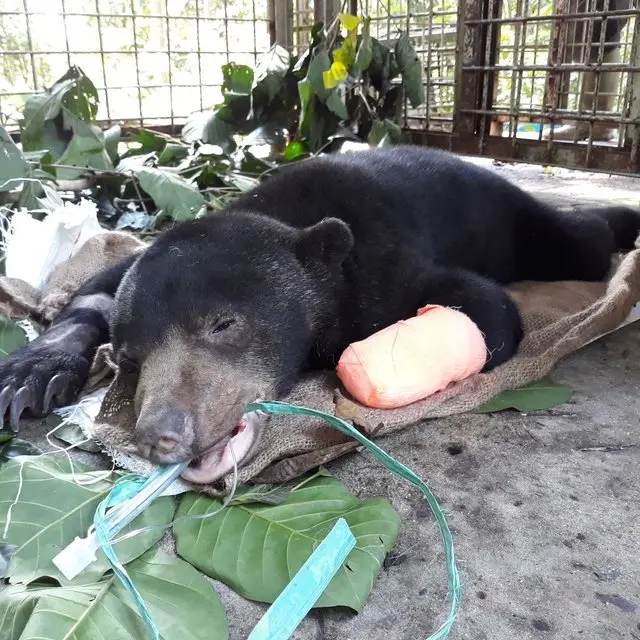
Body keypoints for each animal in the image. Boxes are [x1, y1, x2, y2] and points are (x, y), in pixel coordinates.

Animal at [1, 146, 640, 484]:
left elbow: (487, 314)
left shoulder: (382, 268)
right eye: (130, 358)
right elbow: (96, 289)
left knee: (577, 241)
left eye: (224, 325)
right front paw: (30, 372)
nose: (162, 435)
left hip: (512, 220)